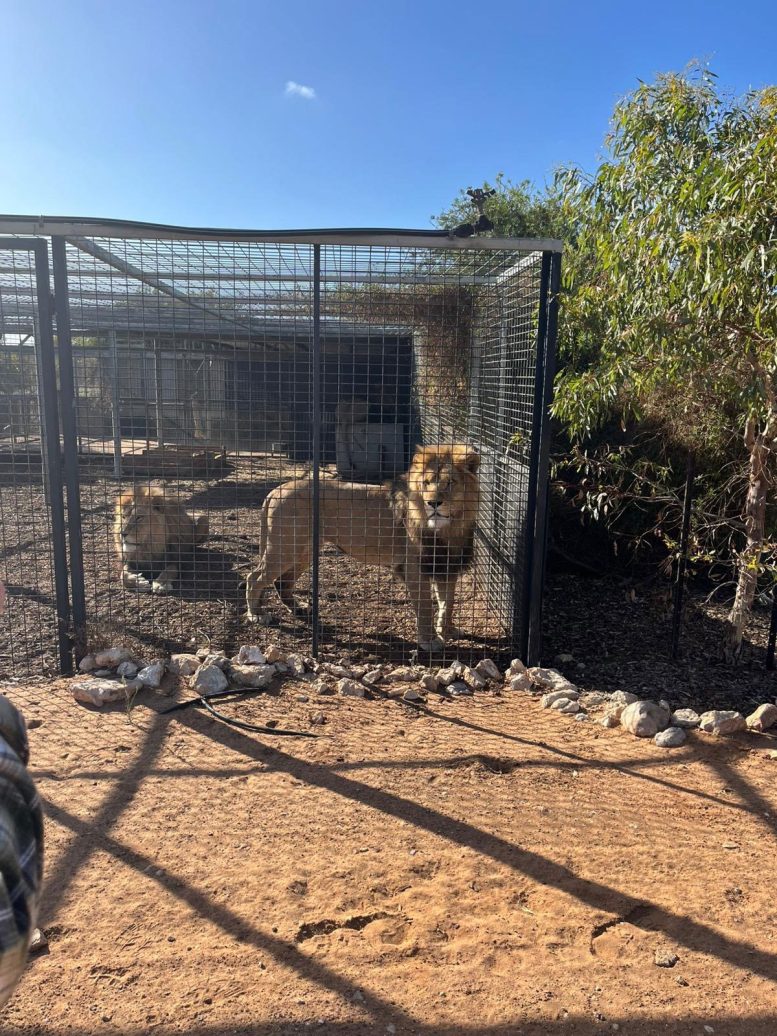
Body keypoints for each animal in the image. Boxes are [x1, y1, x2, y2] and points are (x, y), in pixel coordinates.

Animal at [245, 444, 480, 652]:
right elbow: (425, 606)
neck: (449, 529)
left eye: (450, 482)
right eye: (426, 483)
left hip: (303, 550)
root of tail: (276, 489)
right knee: (254, 577)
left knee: (282, 581)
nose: (433, 503)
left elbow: (447, 603)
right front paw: (429, 641)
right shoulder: (415, 567)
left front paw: (448, 630)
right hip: (285, 548)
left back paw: (299, 608)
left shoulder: (446, 566)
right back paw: (257, 614)